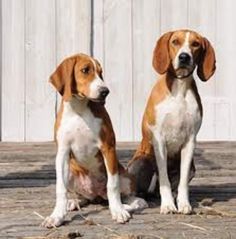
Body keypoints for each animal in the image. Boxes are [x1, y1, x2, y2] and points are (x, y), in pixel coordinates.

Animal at [41, 52, 147, 228]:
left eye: (101, 72)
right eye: (85, 70)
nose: (105, 91)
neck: (79, 110)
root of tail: (96, 193)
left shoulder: (108, 147)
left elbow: (113, 185)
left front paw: (117, 211)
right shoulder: (62, 152)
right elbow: (60, 189)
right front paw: (56, 216)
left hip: (125, 177)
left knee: (133, 199)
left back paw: (125, 206)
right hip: (71, 173)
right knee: (83, 197)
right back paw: (74, 202)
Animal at [127, 29, 216, 215]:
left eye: (196, 44)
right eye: (175, 41)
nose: (184, 57)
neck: (179, 86)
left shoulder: (190, 141)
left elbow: (182, 183)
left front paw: (183, 203)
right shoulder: (159, 140)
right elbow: (164, 179)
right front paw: (168, 204)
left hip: (193, 168)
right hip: (140, 162)